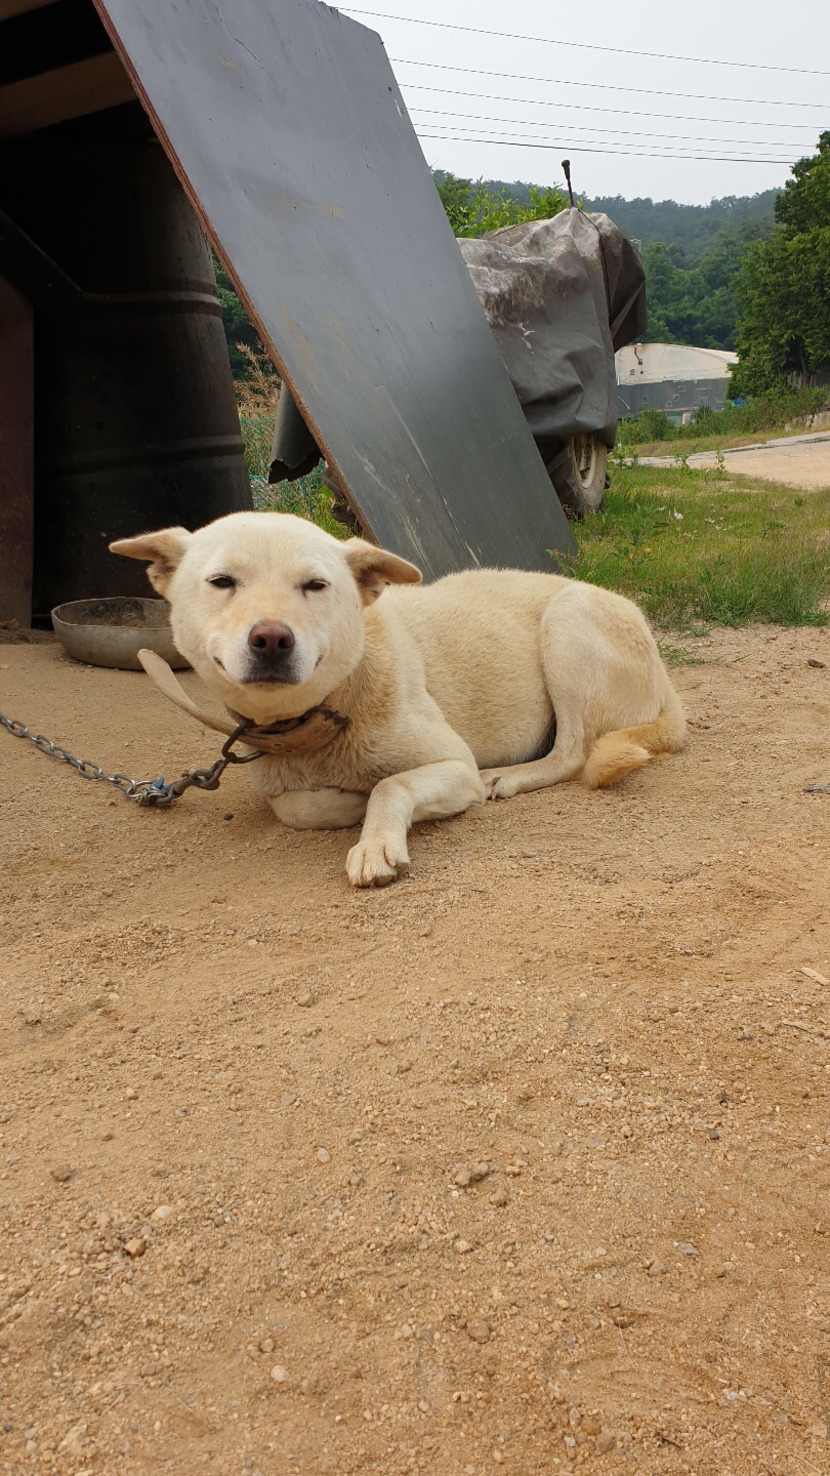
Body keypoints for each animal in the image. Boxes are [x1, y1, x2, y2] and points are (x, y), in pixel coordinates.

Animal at [111, 512, 685, 887]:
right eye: (222, 581)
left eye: (315, 585)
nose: (272, 639)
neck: (329, 714)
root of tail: (665, 680)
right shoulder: (283, 784)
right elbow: (296, 807)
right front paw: (347, 803)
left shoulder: (454, 766)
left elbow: (390, 784)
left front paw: (373, 838)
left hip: (568, 619)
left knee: (572, 753)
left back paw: (508, 776)